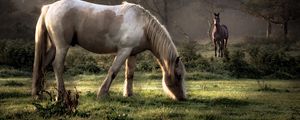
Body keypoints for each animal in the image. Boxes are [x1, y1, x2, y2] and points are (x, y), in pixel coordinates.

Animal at [31, 0, 185, 101]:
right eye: (178, 75)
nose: (182, 98)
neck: (143, 25)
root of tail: (49, 7)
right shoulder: (123, 51)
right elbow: (113, 71)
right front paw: (102, 94)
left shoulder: (132, 53)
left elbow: (129, 74)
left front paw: (128, 95)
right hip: (62, 46)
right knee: (57, 66)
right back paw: (60, 96)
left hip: (54, 47)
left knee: (43, 66)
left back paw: (39, 94)